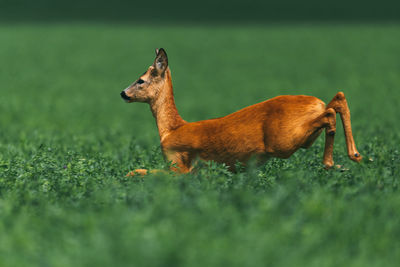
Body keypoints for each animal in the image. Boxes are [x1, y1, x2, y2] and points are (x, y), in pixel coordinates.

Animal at [119, 49, 362, 177]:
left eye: (140, 80)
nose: (123, 93)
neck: (171, 129)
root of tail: (315, 103)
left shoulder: (177, 163)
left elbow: (139, 171)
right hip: (302, 137)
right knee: (338, 99)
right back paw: (353, 157)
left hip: (284, 140)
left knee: (329, 113)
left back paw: (336, 162)